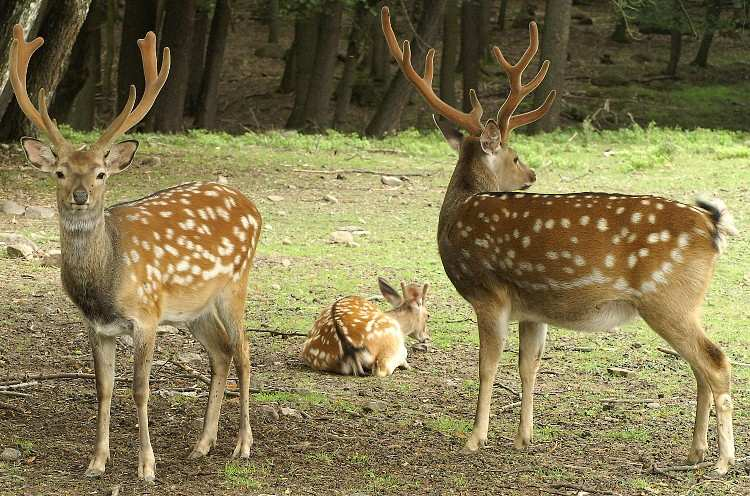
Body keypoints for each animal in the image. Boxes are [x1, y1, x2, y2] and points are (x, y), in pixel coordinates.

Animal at [6, 24, 262, 480]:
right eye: (60, 172)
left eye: (101, 173)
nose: (80, 196)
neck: (106, 281)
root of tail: (254, 208)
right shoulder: (98, 326)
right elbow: (104, 388)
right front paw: (96, 462)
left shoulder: (146, 316)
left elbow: (140, 389)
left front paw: (146, 466)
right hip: (193, 309)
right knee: (221, 353)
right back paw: (202, 445)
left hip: (235, 284)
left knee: (246, 351)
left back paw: (243, 445)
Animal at [382, 5, 740, 474]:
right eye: (517, 156)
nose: (532, 174)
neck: (460, 212)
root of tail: (712, 226)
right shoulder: (533, 308)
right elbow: (528, 366)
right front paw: (523, 438)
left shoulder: (489, 292)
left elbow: (487, 366)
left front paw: (474, 439)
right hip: (683, 303)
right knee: (700, 366)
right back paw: (695, 451)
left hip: (667, 297)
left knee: (715, 361)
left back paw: (722, 461)